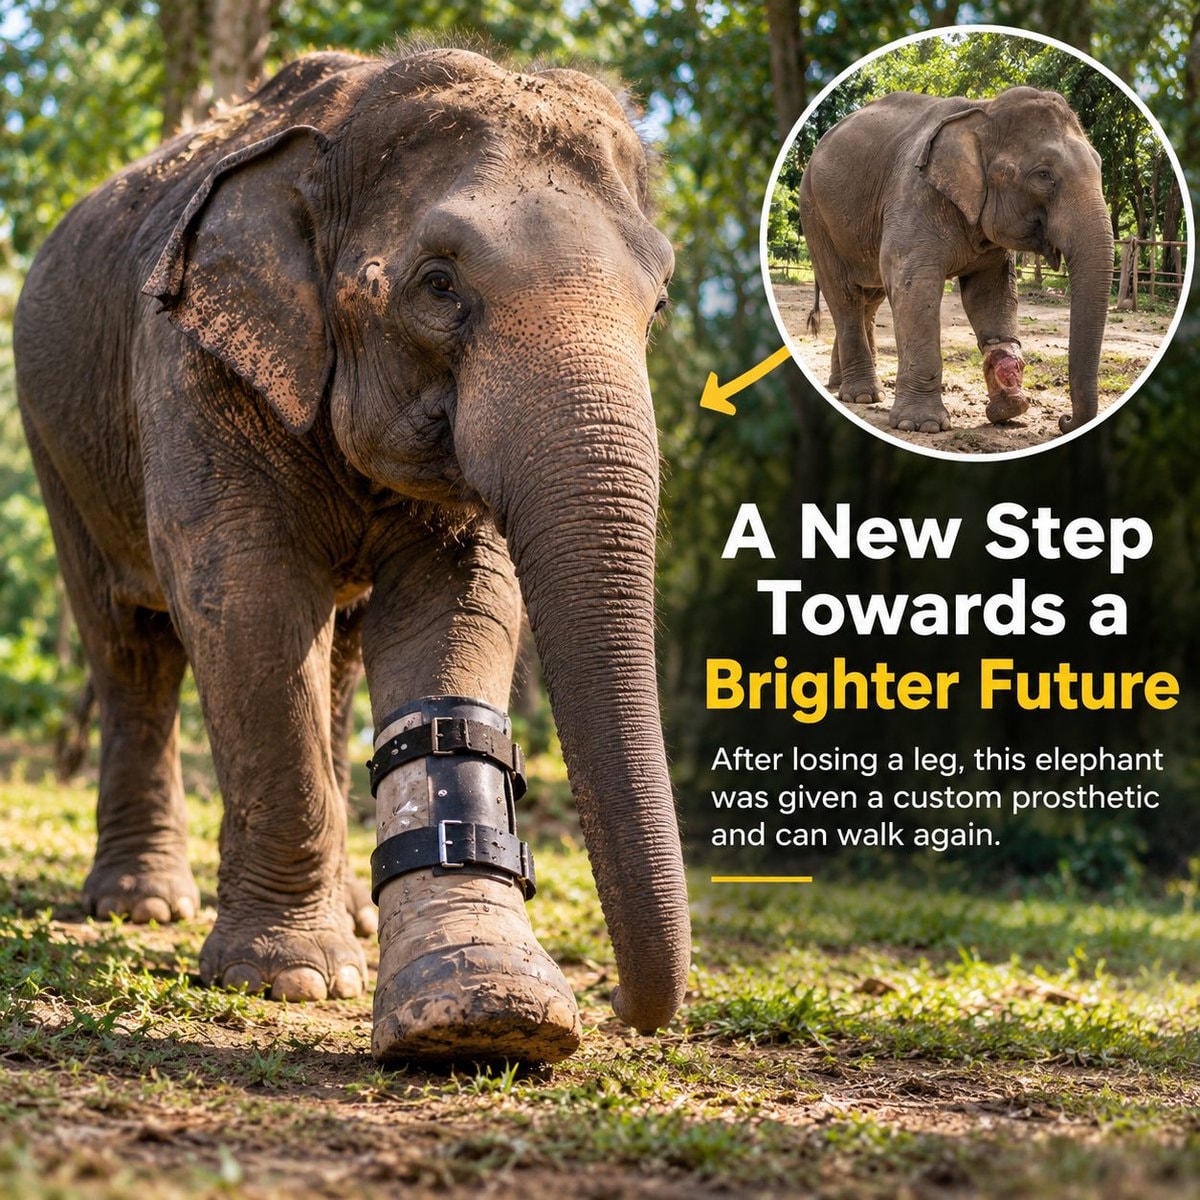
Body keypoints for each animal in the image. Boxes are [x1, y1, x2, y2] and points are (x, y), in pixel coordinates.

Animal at [13, 46, 689, 1064]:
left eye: (659, 300)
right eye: (438, 285)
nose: (627, 1010)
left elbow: (459, 608)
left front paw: (488, 1014)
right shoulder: (188, 364)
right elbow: (244, 601)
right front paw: (288, 979)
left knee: (331, 658)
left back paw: (353, 917)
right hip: (59, 443)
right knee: (129, 645)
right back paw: (142, 906)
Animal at [798, 86, 1113, 435]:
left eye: (1100, 165)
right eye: (1043, 175)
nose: (1064, 420)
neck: (983, 110)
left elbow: (991, 293)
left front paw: (1009, 410)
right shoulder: (914, 194)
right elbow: (912, 285)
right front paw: (921, 425)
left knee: (869, 298)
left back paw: (844, 387)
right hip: (814, 213)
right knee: (844, 295)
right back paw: (863, 395)